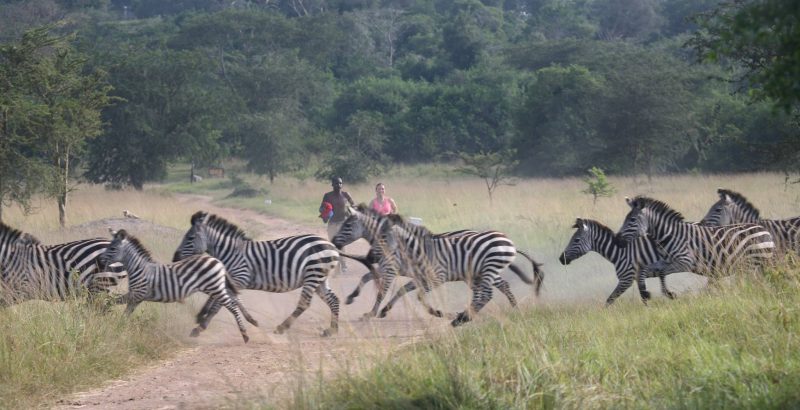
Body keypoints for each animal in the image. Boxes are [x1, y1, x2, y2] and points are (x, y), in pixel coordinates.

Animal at [100, 229, 252, 342]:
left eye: (112, 248)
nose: (100, 261)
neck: (140, 269)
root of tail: (217, 261)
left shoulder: (137, 294)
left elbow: (113, 302)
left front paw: (102, 312)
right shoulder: (136, 298)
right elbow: (124, 313)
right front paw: (117, 326)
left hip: (215, 288)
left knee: (232, 306)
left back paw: (245, 335)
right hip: (216, 287)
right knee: (234, 299)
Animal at [175, 211, 344, 336]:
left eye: (190, 238)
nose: (175, 258)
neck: (230, 253)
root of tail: (331, 245)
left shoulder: (239, 278)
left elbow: (219, 304)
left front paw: (200, 327)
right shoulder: (228, 281)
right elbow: (216, 299)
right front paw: (201, 316)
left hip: (313, 274)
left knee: (304, 303)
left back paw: (282, 327)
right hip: (320, 278)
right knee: (333, 300)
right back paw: (332, 330)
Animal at [332, 205, 544, 320]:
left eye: (347, 225)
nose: (333, 241)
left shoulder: (392, 269)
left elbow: (382, 290)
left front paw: (371, 312)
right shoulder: (403, 271)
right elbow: (377, 281)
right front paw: (354, 298)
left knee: (501, 285)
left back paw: (511, 308)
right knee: (495, 286)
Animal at [612, 195, 776, 278]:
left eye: (632, 220)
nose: (616, 240)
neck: (670, 236)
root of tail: (763, 229)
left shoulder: (685, 262)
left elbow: (662, 273)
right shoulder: (664, 261)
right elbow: (648, 269)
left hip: (754, 263)